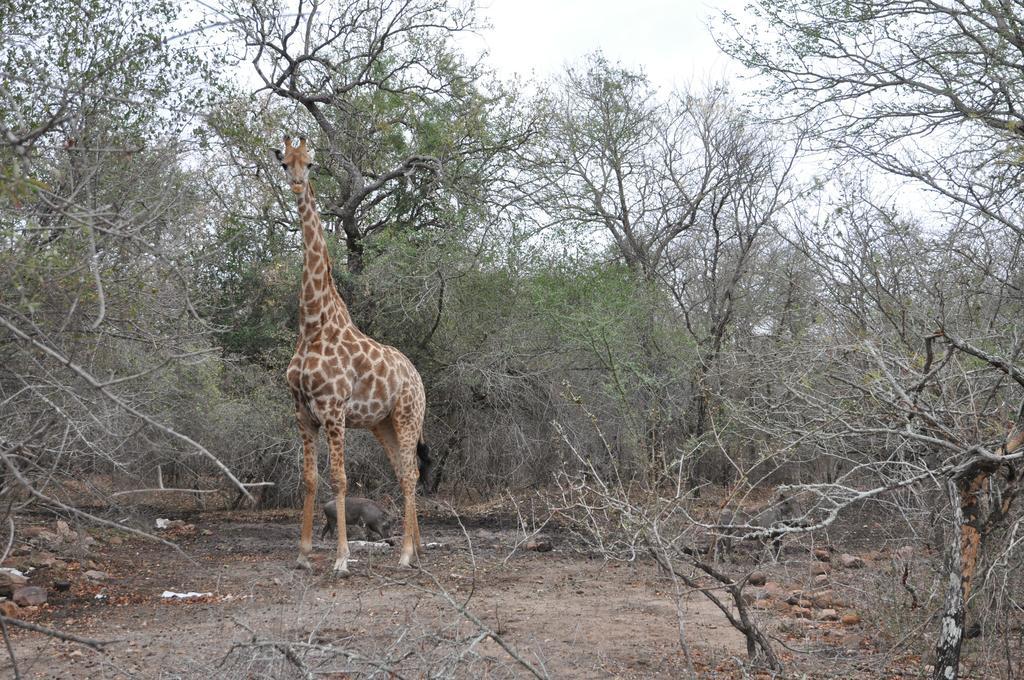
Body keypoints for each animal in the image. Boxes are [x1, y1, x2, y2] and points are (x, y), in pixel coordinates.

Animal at [272, 133, 428, 573]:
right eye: (284, 163)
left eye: (310, 163)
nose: (296, 185)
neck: (312, 324)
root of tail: (417, 378)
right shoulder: (302, 412)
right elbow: (309, 479)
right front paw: (303, 554)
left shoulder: (333, 409)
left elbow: (340, 479)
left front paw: (341, 559)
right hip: (383, 424)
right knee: (404, 471)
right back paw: (416, 549)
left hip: (408, 416)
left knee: (411, 474)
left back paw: (406, 554)